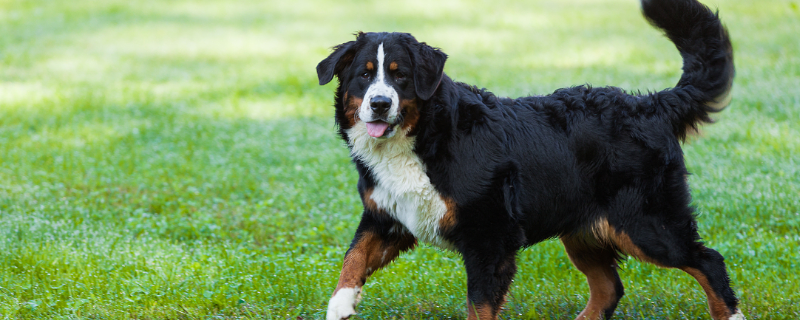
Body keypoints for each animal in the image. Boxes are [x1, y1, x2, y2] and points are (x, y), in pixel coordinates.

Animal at [318, 0, 744, 318]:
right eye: (364, 75)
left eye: (400, 75)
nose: (379, 103)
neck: (421, 138)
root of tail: (651, 104)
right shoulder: (389, 216)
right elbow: (353, 258)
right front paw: (340, 305)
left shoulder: (490, 238)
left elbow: (479, 306)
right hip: (584, 230)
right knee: (609, 288)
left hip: (646, 224)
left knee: (708, 261)